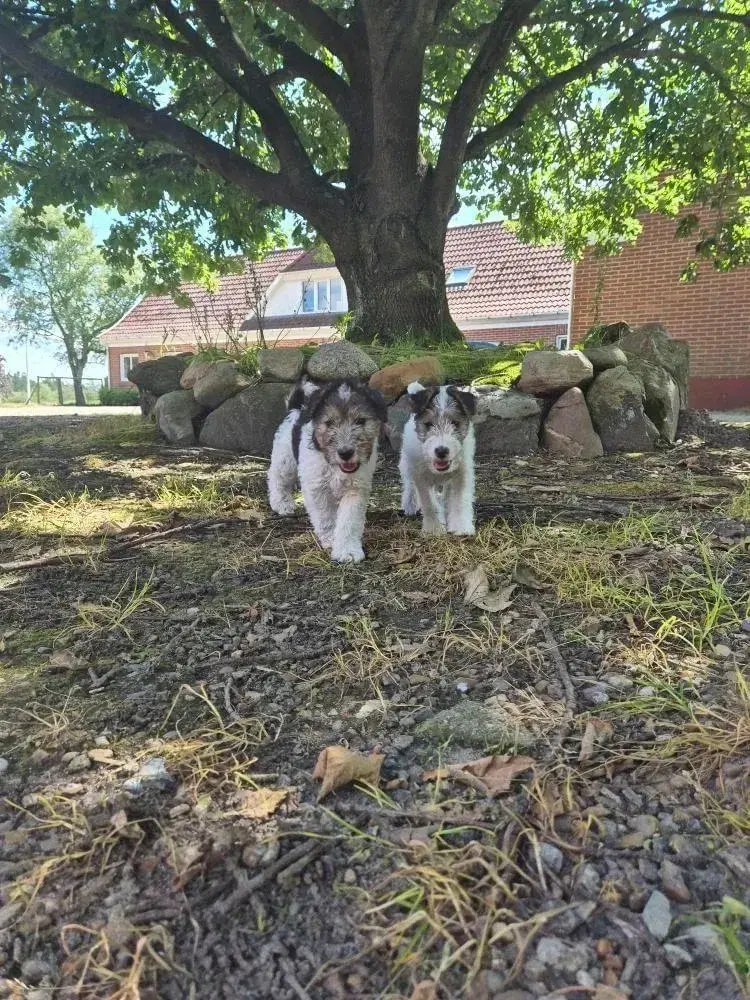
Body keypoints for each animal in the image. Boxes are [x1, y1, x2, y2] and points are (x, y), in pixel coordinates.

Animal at [268, 378, 388, 564]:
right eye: (329, 423)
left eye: (360, 421)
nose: (345, 453)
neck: (334, 466)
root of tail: (296, 409)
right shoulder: (317, 488)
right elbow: (325, 517)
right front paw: (331, 538)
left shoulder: (355, 489)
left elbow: (349, 520)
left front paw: (348, 550)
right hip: (285, 459)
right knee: (277, 478)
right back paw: (281, 503)